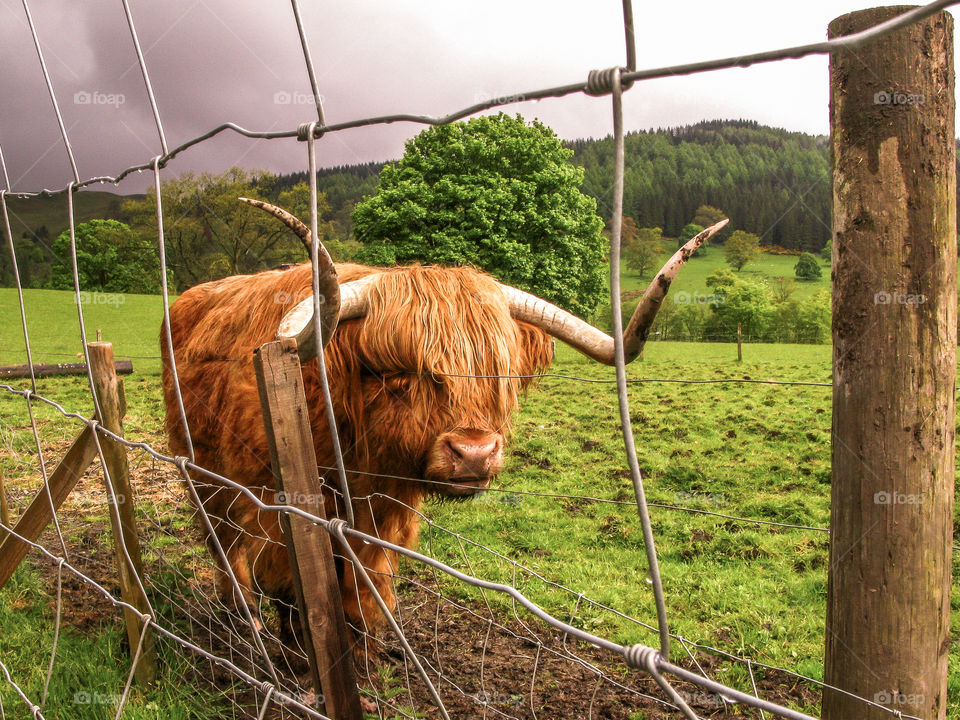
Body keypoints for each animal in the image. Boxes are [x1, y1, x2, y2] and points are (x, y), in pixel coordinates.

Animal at [161, 198, 726, 635]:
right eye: (395, 373)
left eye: (500, 374)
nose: (474, 454)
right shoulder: (276, 511)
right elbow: (291, 590)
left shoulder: (385, 518)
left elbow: (366, 589)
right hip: (200, 472)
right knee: (222, 543)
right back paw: (243, 617)